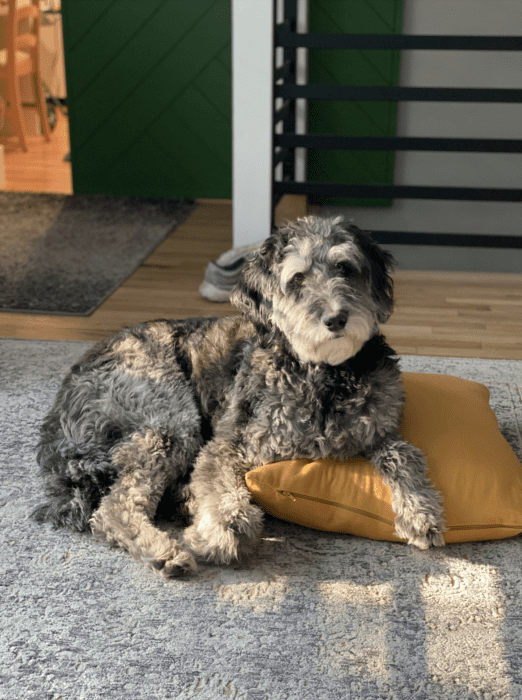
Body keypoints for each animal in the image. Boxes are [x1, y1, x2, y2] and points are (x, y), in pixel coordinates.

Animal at [34, 216, 444, 576]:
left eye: (344, 268)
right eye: (297, 279)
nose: (336, 319)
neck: (325, 375)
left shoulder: (380, 431)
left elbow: (402, 456)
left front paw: (420, 511)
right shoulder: (228, 444)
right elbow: (224, 493)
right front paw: (224, 530)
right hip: (171, 420)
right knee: (114, 507)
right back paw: (164, 551)